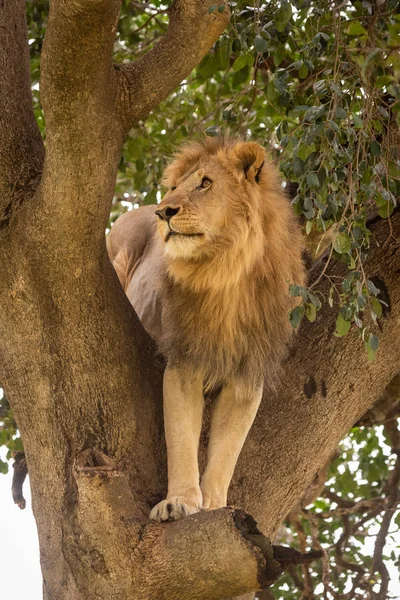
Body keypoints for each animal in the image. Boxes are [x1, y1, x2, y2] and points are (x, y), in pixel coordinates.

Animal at [108, 138, 304, 524]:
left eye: (205, 183)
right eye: (173, 187)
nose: (163, 212)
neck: (226, 273)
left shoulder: (248, 374)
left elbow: (227, 451)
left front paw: (214, 506)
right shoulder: (185, 359)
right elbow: (181, 439)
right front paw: (179, 502)